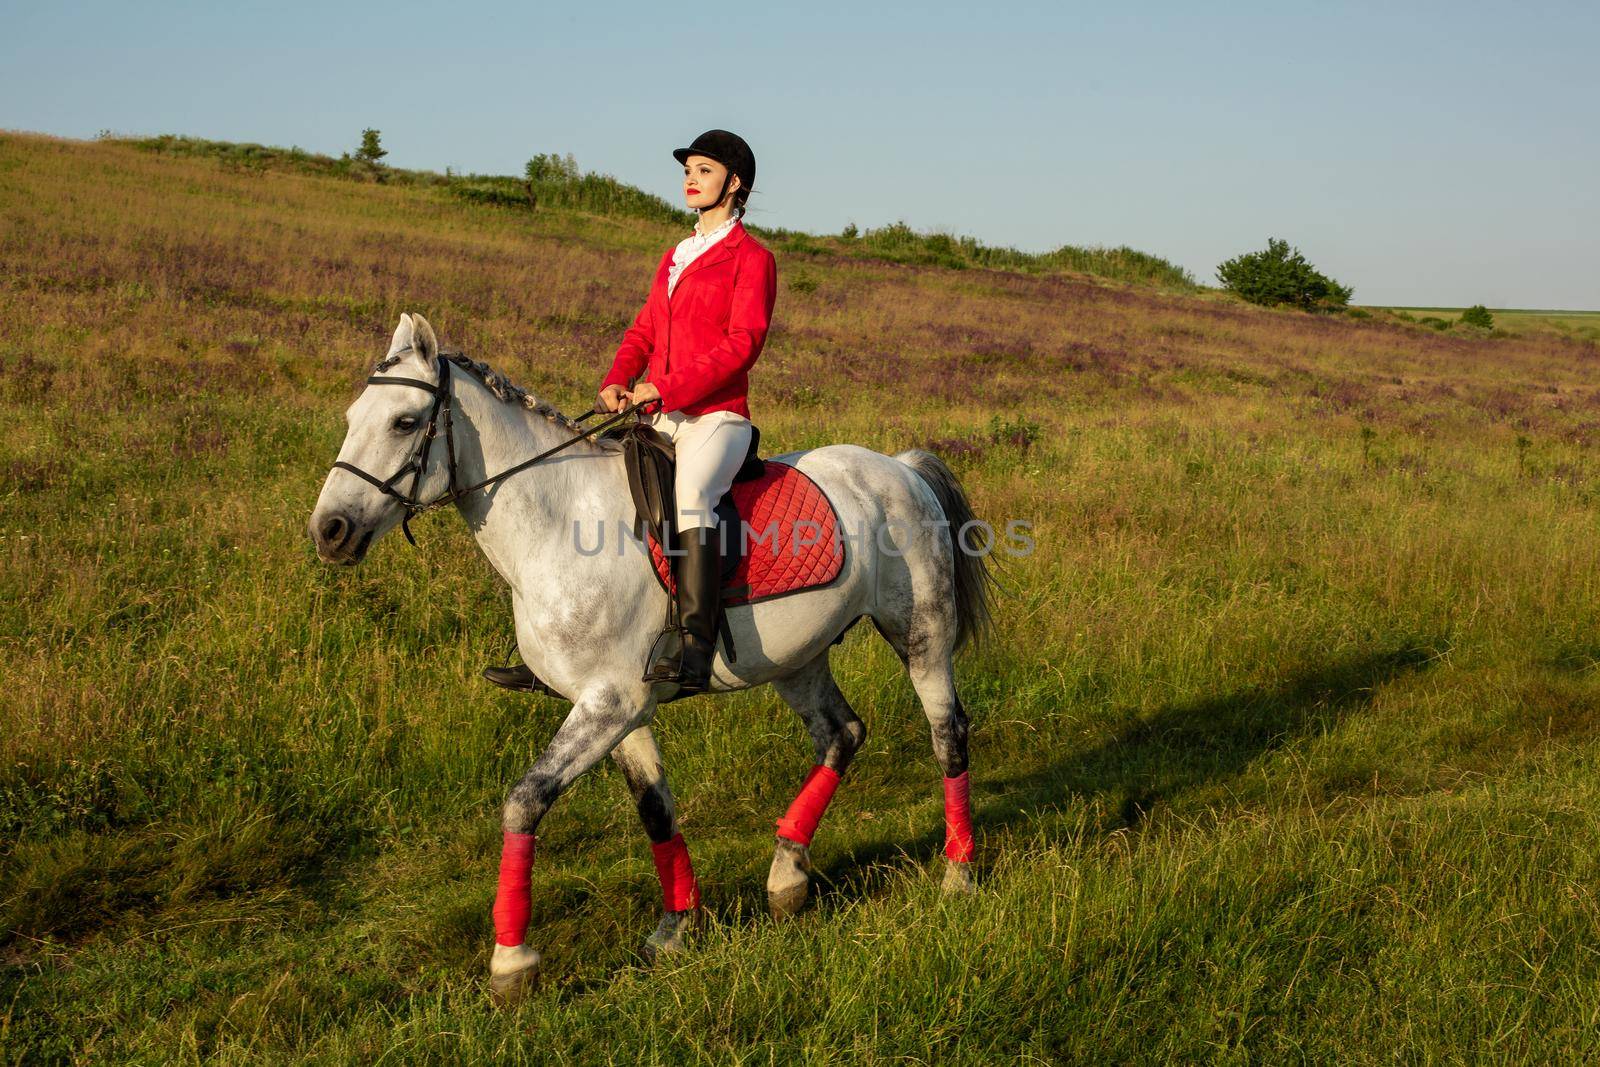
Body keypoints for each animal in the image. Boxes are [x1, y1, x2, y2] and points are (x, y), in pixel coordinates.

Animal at [305, 313, 992, 1004]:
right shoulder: (619, 709)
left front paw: (511, 961)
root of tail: (898, 467)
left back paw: (957, 874)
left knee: (947, 734)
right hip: (797, 658)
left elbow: (525, 800)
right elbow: (655, 810)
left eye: (404, 422)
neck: (557, 525)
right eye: (352, 416)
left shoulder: (610, 704)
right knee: (840, 734)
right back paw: (787, 876)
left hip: (921, 634)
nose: (329, 531)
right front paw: (675, 927)